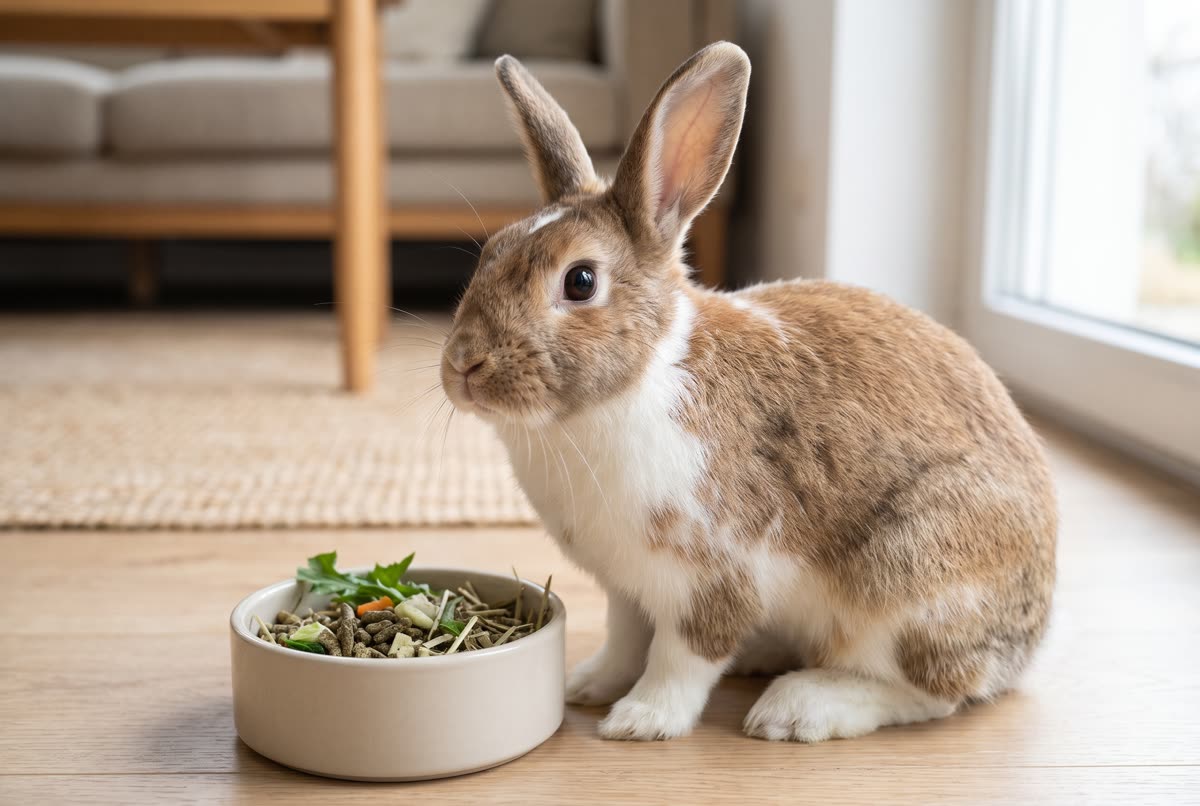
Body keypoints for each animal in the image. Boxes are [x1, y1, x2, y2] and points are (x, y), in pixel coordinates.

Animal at [439, 42, 1057, 742]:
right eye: (490, 252)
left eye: (580, 281)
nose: (463, 363)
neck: (642, 378)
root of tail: (1027, 645)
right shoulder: (627, 583)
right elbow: (626, 640)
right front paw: (589, 686)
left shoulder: (712, 575)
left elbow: (684, 655)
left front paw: (641, 721)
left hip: (911, 583)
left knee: (935, 691)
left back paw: (799, 707)